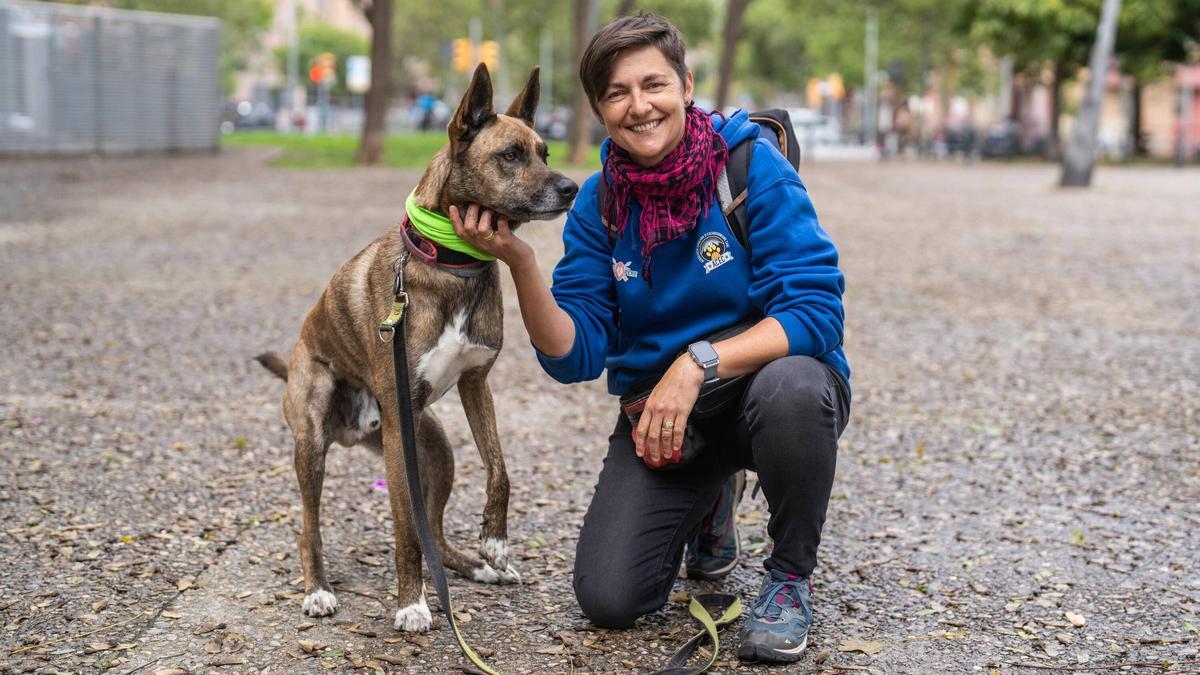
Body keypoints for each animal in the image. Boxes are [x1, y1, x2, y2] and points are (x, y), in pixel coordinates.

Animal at [258, 65, 580, 629]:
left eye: (544, 151)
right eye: (511, 155)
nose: (572, 188)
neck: (453, 262)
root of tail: (353, 429)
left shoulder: (476, 384)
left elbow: (500, 471)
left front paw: (495, 543)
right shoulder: (400, 433)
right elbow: (406, 531)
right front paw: (411, 602)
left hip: (432, 447)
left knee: (439, 533)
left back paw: (475, 565)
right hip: (316, 441)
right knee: (308, 528)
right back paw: (318, 589)